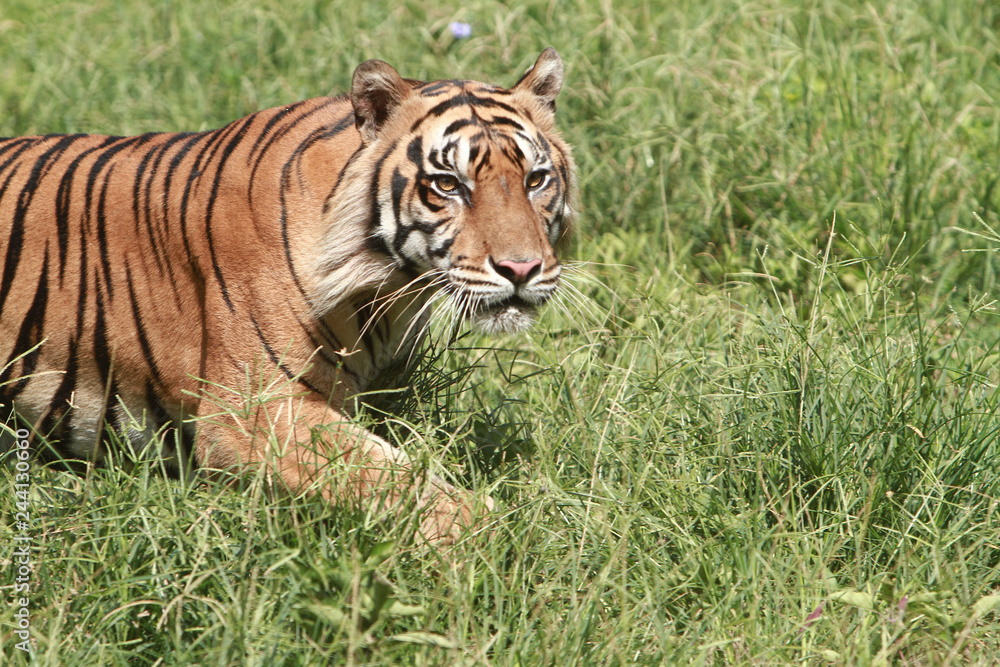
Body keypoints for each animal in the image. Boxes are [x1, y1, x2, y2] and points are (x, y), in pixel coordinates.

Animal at [0, 48, 576, 544]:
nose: (521, 268)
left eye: (535, 179)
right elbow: (394, 480)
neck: (391, 287)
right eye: (449, 185)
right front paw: (513, 538)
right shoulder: (257, 412)